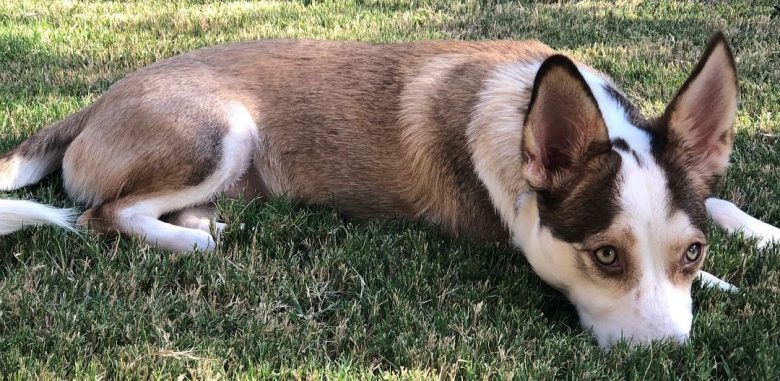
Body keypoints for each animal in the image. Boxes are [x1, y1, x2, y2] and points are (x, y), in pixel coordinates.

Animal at [1, 32, 780, 348]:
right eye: (605, 256)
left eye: (689, 252)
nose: (667, 356)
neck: (525, 106)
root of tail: (94, 104)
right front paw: (732, 284)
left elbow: (719, 200)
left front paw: (759, 240)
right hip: (220, 128)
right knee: (102, 215)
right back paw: (199, 244)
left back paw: (209, 228)